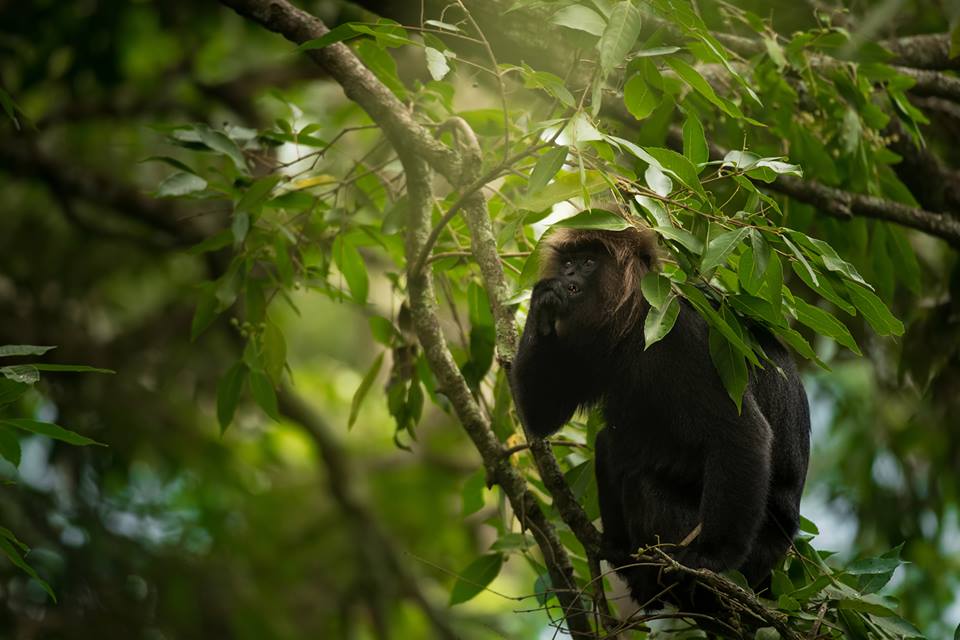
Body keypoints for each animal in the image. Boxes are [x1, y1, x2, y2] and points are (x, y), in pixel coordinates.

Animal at [510, 226, 808, 608]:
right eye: (568, 263)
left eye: (588, 262)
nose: (569, 275)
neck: (636, 323)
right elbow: (543, 415)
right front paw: (543, 299)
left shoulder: (683, 334)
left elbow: (743, 433)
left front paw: (711, 557)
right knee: (610, 443)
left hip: (746, 551)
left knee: (642, 480)